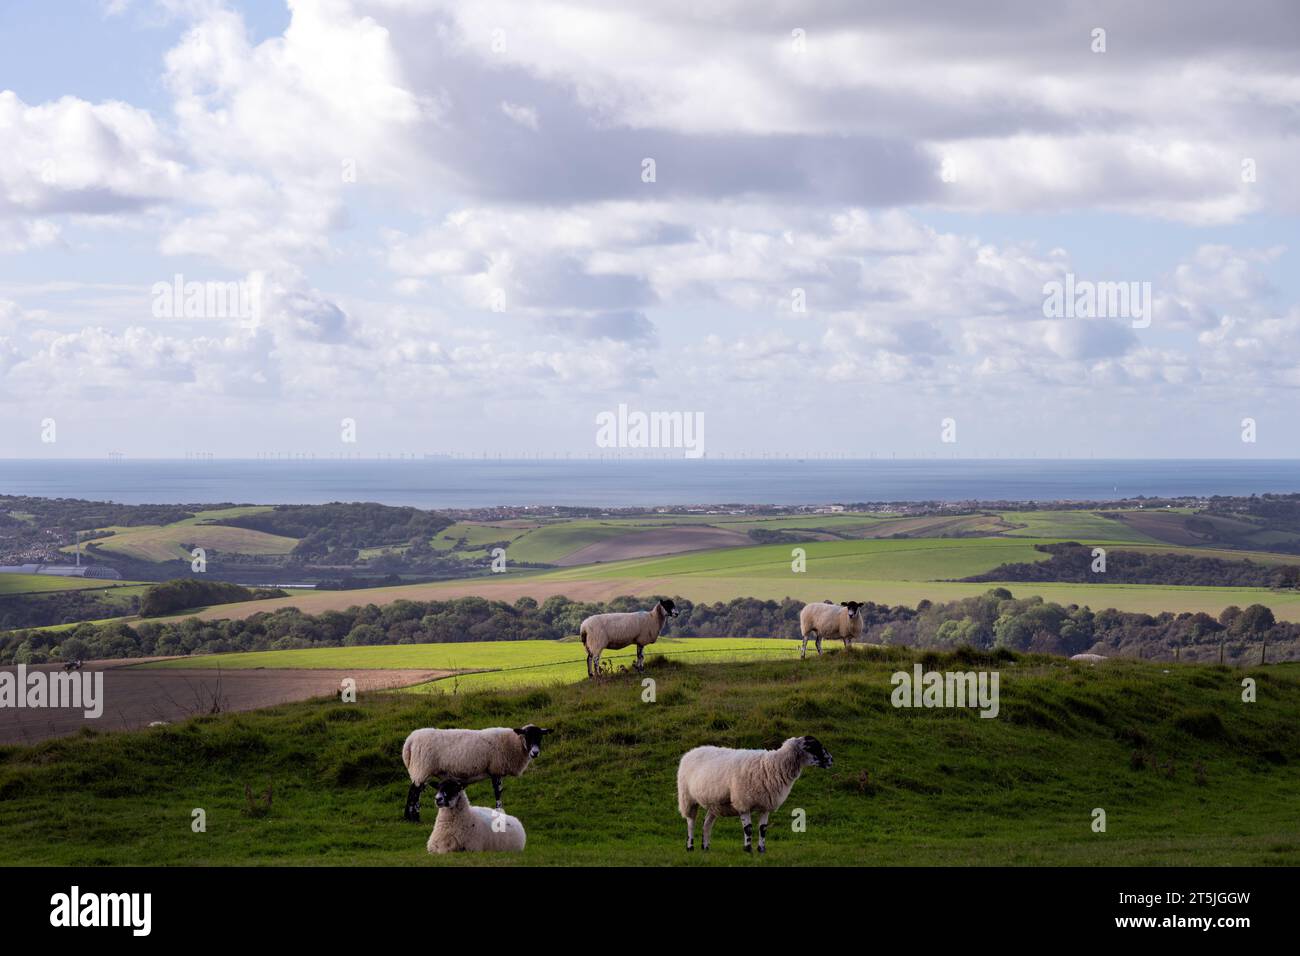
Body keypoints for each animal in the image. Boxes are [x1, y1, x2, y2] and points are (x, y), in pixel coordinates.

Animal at [403, 723, 551, 822]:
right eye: (527, 736)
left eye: (540, 737)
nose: (535, 752)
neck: (513, 743)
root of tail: (409, 741)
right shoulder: (496, 769)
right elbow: (498, 792)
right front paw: (499, 811)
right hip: (422, 768)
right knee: (414, 792)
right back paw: (414, 818)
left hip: (421, 770)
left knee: (414, 792)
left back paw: (409, 817)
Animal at [676, 738, 837, 858]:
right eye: (813, 747)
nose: (831, 760)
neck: (772, 766)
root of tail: (691, 751)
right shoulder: (743, 803)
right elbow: (748, 829)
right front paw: (748, 849)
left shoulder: (766, 805)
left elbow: (763, 829)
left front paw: (761, 850)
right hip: (687, 798)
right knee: (691, 823)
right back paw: (690, 847)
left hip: (715, 804)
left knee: (707, 824)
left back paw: (705, 848)